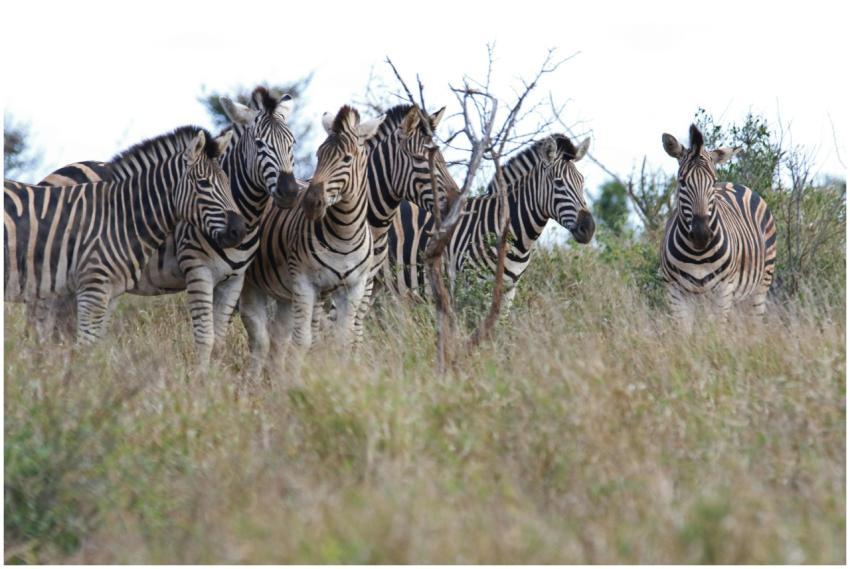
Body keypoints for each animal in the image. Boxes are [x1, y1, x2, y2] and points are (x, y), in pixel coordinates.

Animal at [4, 126, 246, 344]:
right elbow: (85, 347)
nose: (239, 230)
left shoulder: (107, 290)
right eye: (204, 183)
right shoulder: (93, 287)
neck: (120, 214)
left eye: (228, 181)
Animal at [30, 87, 299, 369]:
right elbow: (205, 339)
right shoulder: (198, 271)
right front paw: (201, 379)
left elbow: (219, 342)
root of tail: (53, 175)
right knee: (43, 328)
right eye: (259, 144)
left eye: (292, 143)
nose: (290, 192)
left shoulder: (234, 280)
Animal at [239, 105, 383, 378]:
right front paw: (296, 382)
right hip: (252, 286)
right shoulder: (304, 282)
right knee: (259, 339)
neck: (345, 234)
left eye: (347, 159)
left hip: (286, 293)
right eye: (318, 155)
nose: (309, 202)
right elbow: (302, 341)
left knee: (277, 338)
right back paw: (252, 382)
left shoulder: (354, 287)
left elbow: (343, 340)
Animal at [660, 124, 777, 328]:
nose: (701, 235)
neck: (697, 255)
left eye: (712, 182)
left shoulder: (723, 291)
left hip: (760, 286)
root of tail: (734, 183)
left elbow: (717, 332)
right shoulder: (675, 292)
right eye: (682, 182)